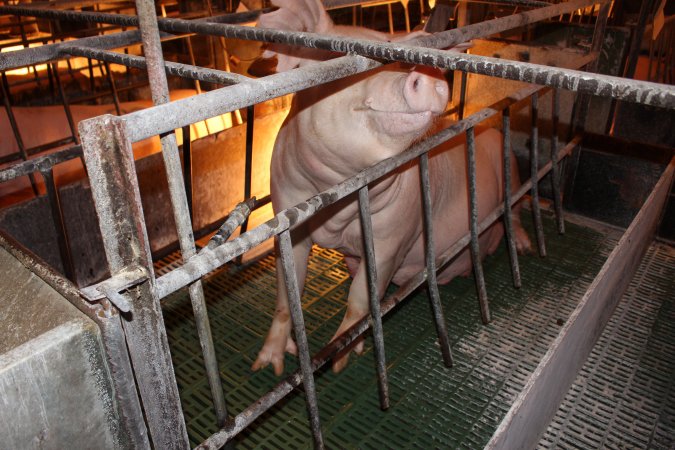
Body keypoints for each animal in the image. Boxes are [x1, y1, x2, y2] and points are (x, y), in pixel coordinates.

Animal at [251, 0, 532, 376]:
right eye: (339, 59)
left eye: (398, 54)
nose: (428, 75)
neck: (338, 194)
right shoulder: (287, 209)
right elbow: (287, 293)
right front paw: (268, 367)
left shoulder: (397, 233)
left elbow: (361, 297)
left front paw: (339, 362)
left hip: (510, 167)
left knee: (514, 210)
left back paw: (526, 248)